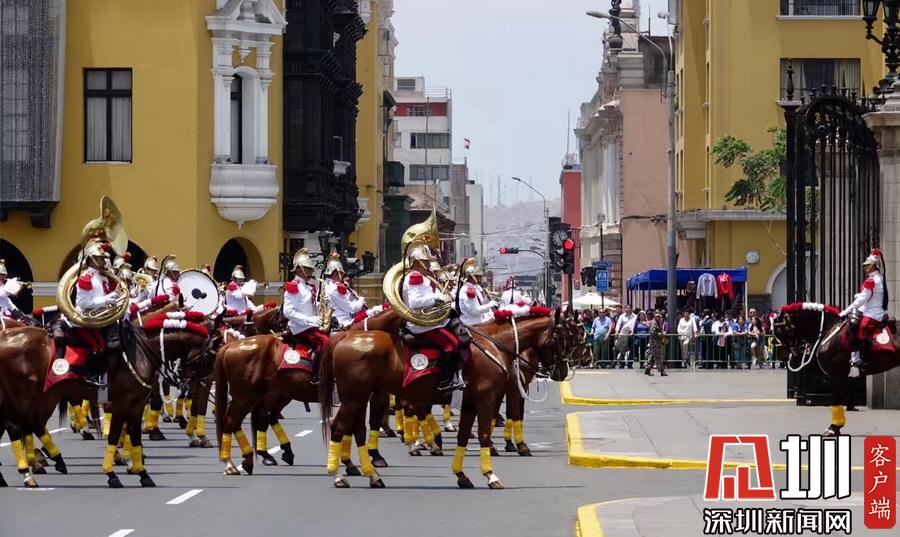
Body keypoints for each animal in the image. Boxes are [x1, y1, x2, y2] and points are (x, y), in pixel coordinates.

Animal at [773, 302, 900, 435]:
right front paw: (836, 426)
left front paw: (833, 428)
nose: (781, 356)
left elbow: (836, 398)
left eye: (780, 330)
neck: (829, 332)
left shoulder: (836, 373)